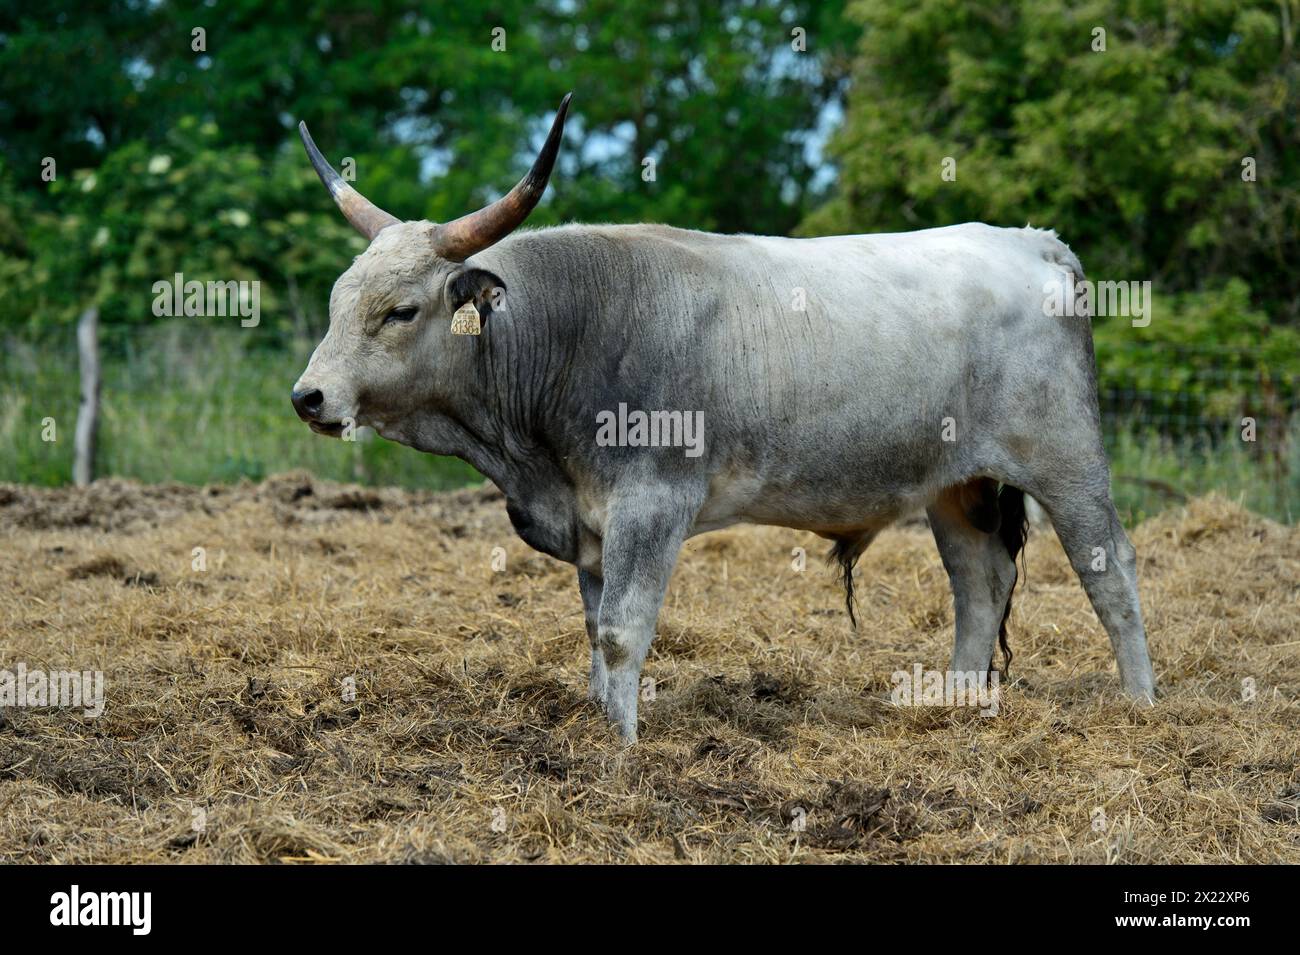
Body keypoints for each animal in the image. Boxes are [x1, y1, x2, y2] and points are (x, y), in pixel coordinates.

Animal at [292, 93, 1159, 743]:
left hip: (1067, 457)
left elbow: (623, 630)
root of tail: (1034, 242)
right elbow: (596, 632)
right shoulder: (592, 522)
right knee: (980, 583)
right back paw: (953, 704)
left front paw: (621, 749)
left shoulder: (652, 505)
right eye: (337, 300)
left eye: (401, 310)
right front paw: (597, 724)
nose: (310, 396)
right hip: (957, 483)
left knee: (1109, 570)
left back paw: (1141, 703)